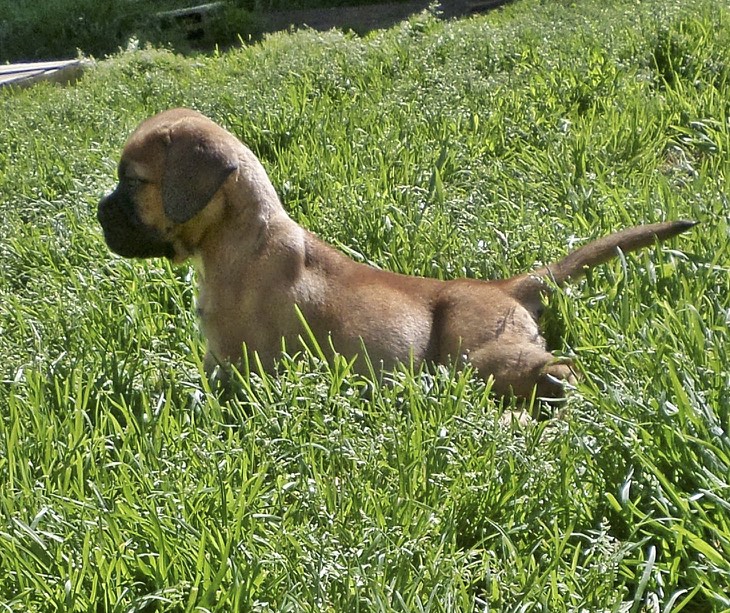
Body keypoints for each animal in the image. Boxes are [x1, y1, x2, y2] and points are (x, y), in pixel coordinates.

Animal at [98, 108, 695, 401]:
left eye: (132, 182)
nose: (98, 213)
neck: (238, 239)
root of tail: (504, 286)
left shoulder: (239, 366)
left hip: (475, 357)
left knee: (558, 369)